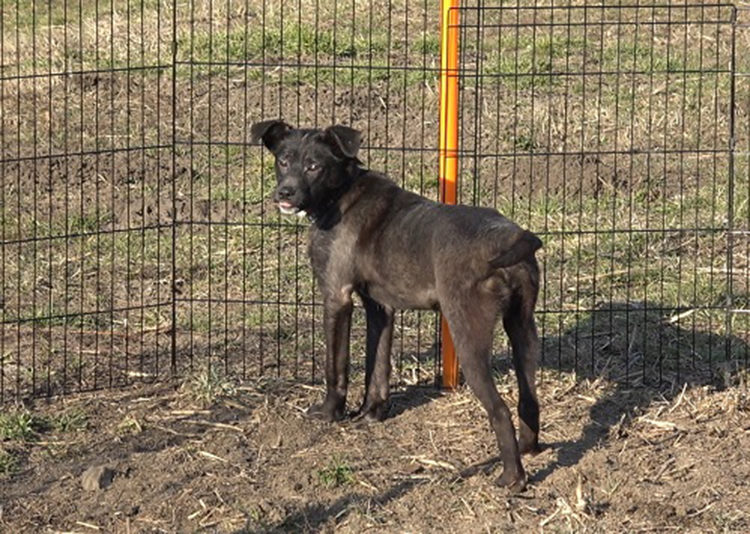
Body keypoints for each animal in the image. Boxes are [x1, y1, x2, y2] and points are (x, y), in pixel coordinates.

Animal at [256, 119, 544, 492]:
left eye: (314, 166)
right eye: (283, 161)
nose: (285, 193)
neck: (341, 194)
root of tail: (511, 237)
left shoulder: (336, 296)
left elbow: (337, 367)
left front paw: (330, 414)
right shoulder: (380, 307)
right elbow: (377, 365)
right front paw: (372, 413)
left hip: (468, 337)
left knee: (500, 410)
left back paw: (512, 477)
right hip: (523, 329)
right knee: (529, 397)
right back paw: (528, 448)